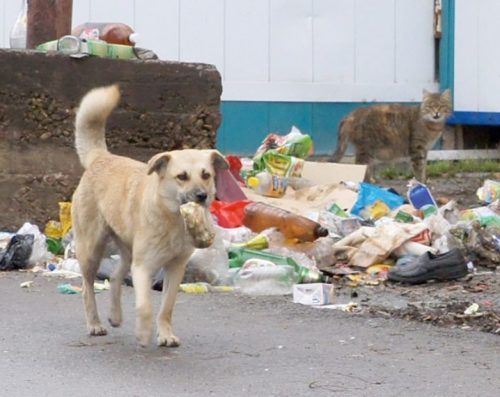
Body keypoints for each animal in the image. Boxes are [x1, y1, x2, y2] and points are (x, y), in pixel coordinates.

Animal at [71, 84, 228, 346]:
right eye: (182, 176)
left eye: (206, 175)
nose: (202, 196)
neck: (174, 220)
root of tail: (102, 157)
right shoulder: (143, 266)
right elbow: (144, 306)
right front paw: (144, 332)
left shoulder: (175, 268)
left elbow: (166, 307)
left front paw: (165, 334)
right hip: (92, 249)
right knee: (87, 287)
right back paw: (94, 323)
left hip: (127, 251)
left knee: (115, 276)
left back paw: (115, 316)